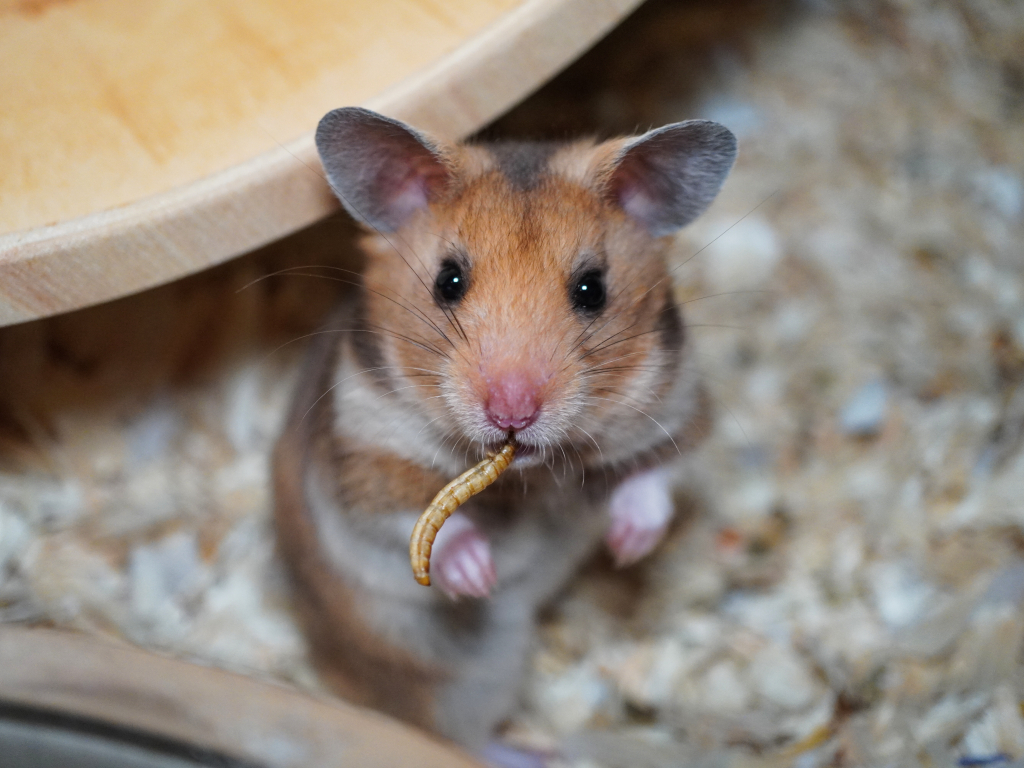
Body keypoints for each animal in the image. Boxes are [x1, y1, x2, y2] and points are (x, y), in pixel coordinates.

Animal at [272, 109, 737, 757]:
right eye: (449, 280)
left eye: (592, 288)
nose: (511, 413)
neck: (532, 476)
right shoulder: (364, 457)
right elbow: (408, 518)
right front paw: (477, 576)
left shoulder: (678, 409)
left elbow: (658, 479)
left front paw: (626, 548)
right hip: (461, 676)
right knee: (461, 739)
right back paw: (537, 751)